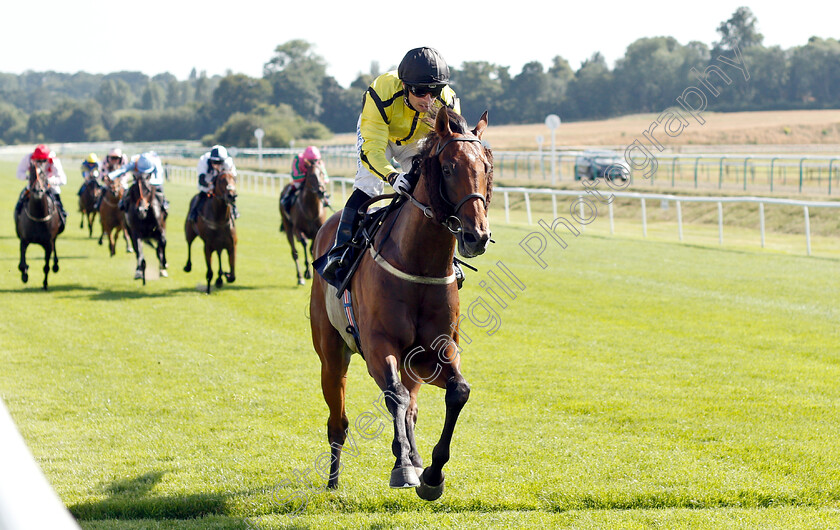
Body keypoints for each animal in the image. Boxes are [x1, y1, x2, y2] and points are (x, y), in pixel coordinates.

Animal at [308, 108, 492, 500]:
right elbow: (394, 396)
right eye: (449, 168)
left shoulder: (434, 353)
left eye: (486, 166)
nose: (477, 236)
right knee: (339, 421)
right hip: (331, 354)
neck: (419, 263)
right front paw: (405, 467)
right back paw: (334, 481)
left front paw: (432, 474)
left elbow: (456, 392)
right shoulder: (380, 346)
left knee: (410, 406)